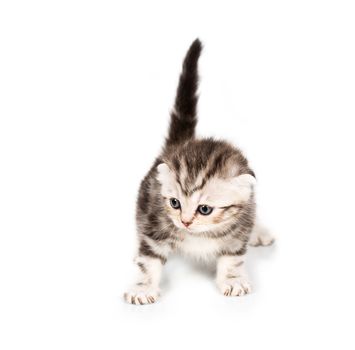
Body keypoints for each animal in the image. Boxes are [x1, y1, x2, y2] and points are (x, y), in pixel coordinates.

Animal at [124, 38, 276, 304]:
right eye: (174, 203)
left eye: (205, 209)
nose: (184, 222)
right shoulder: (154, 222)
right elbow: (149, 259)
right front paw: (142, 287)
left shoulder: (239, 228)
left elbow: (233, 257)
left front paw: (233, 279)